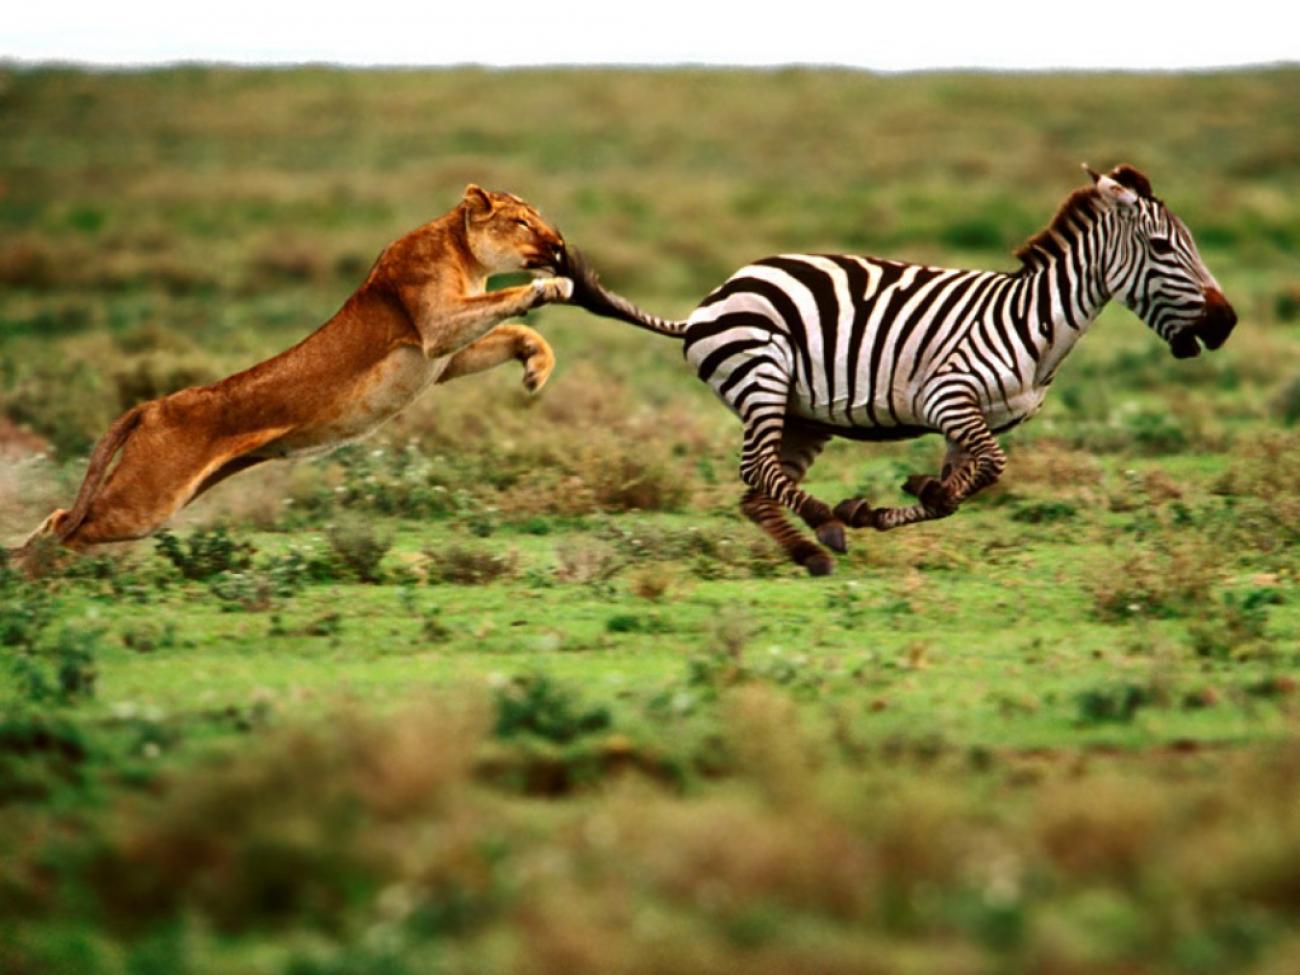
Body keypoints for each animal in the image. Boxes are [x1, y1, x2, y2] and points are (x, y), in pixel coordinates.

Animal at [566, 165, 1237, 577]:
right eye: (1163, 248)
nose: (1226, 324)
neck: (1035, 321)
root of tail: (709, 302)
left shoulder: (976, 420)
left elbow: (962, 488)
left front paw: (906, 498)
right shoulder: (949, 396)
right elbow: (991, 469)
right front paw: (880, 505)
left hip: (803, 413)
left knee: (756, 489)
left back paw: (810, 551)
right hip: (762, 374)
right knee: (756, 469)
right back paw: (824, 523)